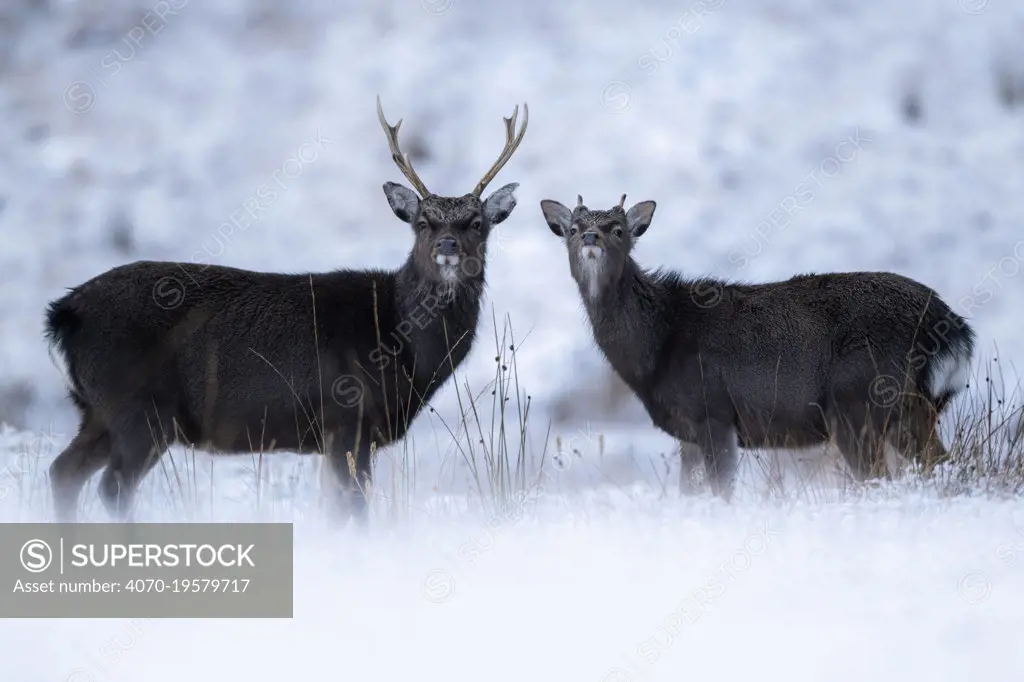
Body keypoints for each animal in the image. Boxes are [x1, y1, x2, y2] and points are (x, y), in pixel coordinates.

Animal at [41, 95, 528, 520]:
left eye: (477, 223)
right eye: (423, 223)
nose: (447, 245)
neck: (397, 338)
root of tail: (64, 313)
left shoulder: (337, 435)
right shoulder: (347, 418)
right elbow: (354, 512)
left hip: (99, 411)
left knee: (64, 472)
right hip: (138, 407)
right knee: (112, 487)